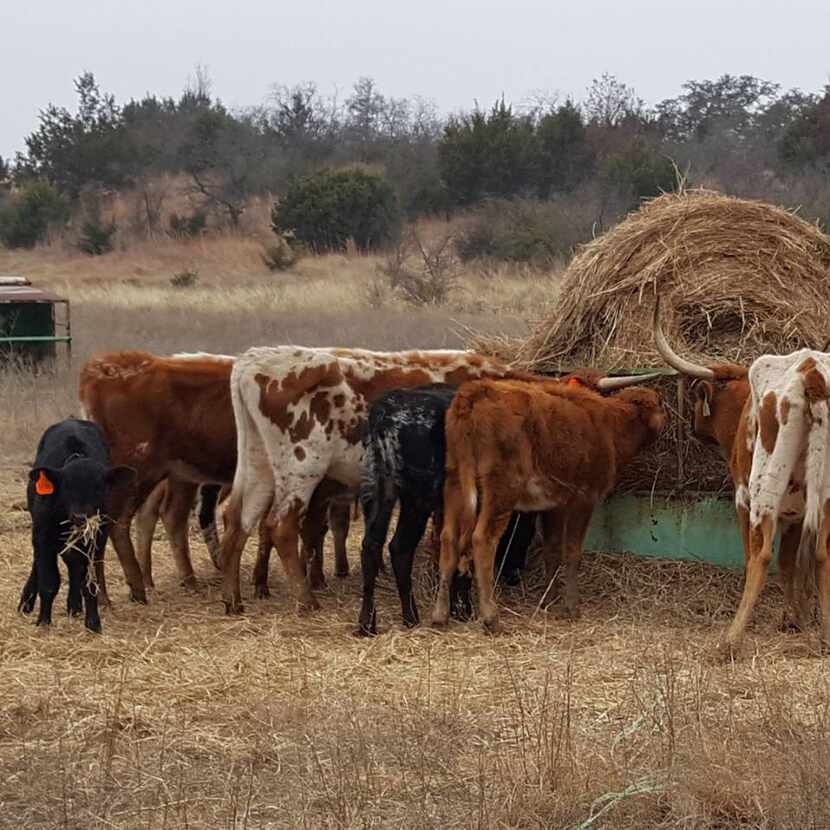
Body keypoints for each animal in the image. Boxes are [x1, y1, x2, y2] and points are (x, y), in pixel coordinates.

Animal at [17, 420, 134, 632]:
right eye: (67, 487)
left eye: (99, 488)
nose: (80, 517)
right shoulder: (42, 534)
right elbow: (49, 581)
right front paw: (43, 621)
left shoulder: (97, 539)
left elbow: (89, 582)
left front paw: (93, 623)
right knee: (38, 564)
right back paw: (26, 603)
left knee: (74, 566)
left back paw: (75, 606)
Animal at [216, 348, 512, 616]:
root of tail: (254, 359)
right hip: (302, 468)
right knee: (281, 526)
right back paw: (306, 601)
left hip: (258, 463)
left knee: (237, 520)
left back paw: (233, 599)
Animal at [356, 386, 532, 636]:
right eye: (521, 535)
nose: (514, 575)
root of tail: (385, 411)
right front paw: (464, 610)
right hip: (416, 499)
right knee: (400, 547)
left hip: (381, 489)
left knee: (376, 546)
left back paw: (376, 622)